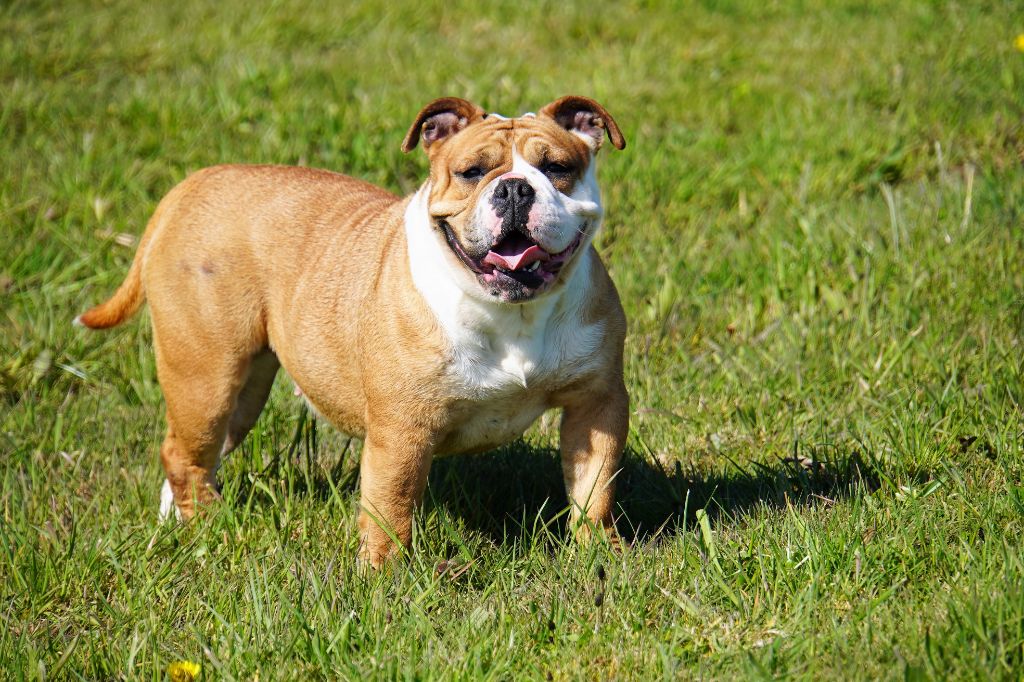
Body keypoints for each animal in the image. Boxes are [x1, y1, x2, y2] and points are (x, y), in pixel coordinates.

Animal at [77, 94, 622, 561]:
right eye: (471, 172)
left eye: (558, 169)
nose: (513, 188)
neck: (512, 311)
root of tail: (188, 188)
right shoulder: (402, 430)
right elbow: (391, 507)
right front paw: (383, 576)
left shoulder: (597, 405)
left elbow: (594, 487)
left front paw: (599, 555)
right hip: (206, 377)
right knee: (184, 454)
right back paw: (208, 529)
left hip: (240, 395)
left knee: (193, 456)